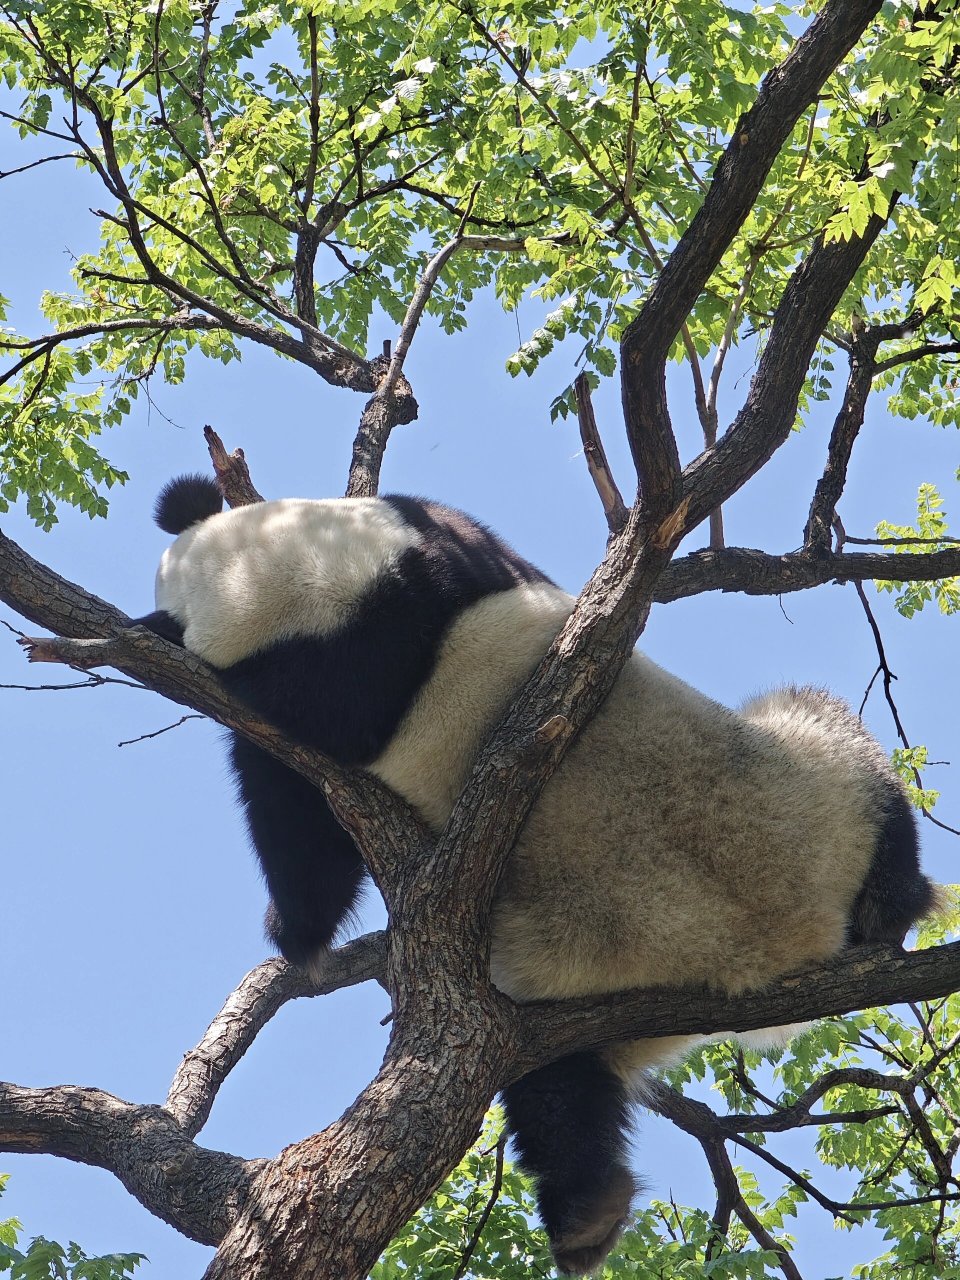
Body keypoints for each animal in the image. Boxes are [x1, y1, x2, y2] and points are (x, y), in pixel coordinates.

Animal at [131, 476, 942, 1274]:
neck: (321, 588)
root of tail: (751, 951)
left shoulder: (401, 585)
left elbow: (293, 799)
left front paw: (291, 936)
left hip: (789, 800)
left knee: (829, 732)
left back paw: (894, 902)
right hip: (578, 968)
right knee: (560, 1092)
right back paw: (587, 1215)